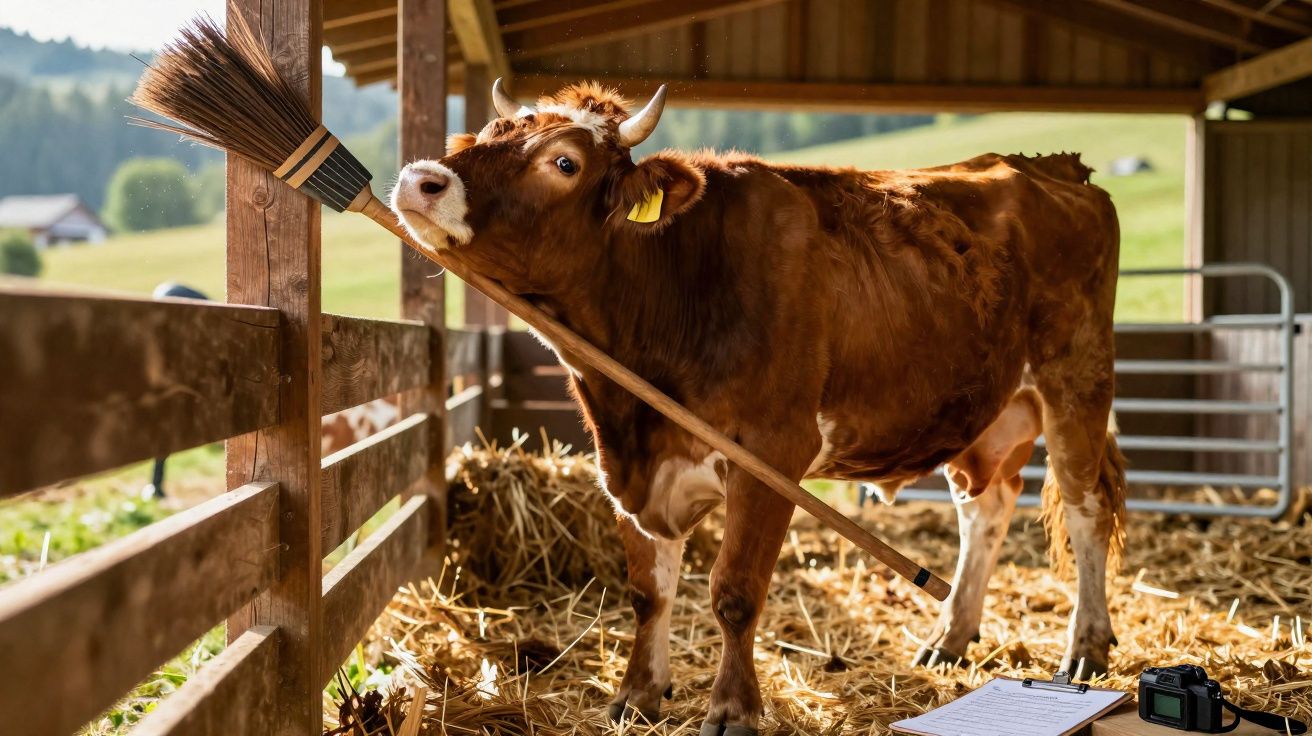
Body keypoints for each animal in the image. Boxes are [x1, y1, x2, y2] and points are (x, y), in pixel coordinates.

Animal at [390, 81, 1127, 735]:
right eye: (485, 134)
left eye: (564, 162)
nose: (420, 180)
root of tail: (1049, 166)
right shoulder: (630, 463)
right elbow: (648, 593)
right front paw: (637, 695)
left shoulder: (770, 456)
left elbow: (735, 593)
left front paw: (733, 710)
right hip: (983, 408)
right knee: (987, 508)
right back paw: (949, 636)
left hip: (1076, 376)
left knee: (1086, 508)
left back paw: (1085, 648)